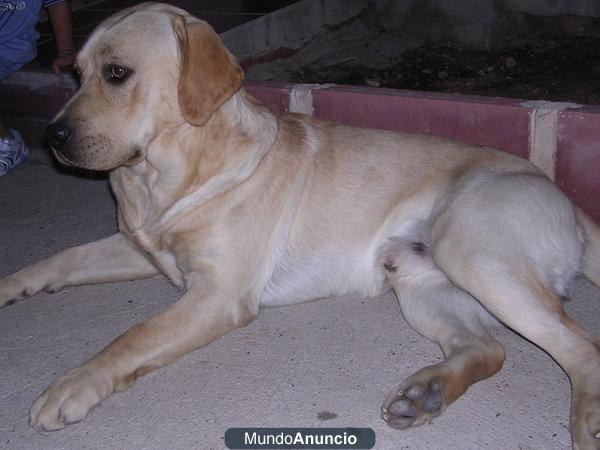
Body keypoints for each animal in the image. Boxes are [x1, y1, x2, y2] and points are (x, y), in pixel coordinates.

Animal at [1, 2, 600, 446]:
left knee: (580, 345)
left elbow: (132, 336)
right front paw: (10, 285)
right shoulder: (140, 246)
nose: (52, 138)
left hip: (470, 250)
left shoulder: (219, 294)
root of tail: (567, 199)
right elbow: (61, 258)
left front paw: (73, 384)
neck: (163, 176)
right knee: (488, 349)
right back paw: (424, 393)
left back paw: (584, 420)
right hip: (421, 279)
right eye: (75, 73)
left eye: (117, 73)